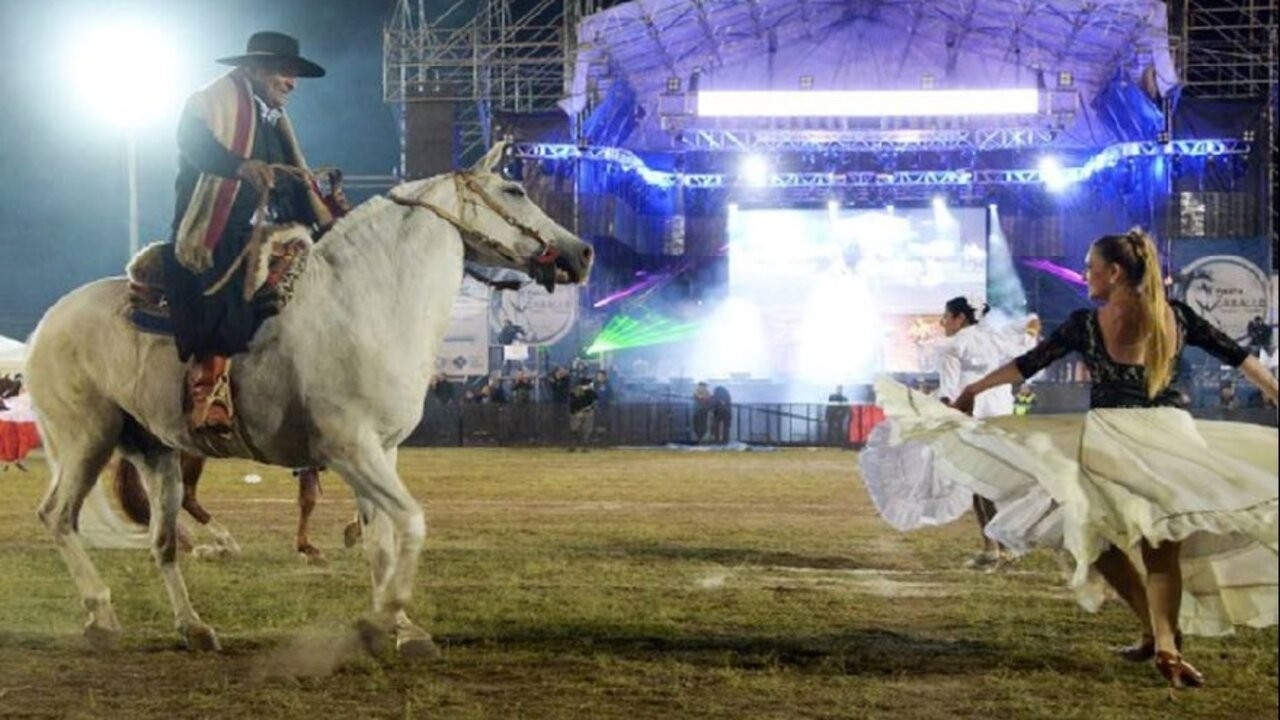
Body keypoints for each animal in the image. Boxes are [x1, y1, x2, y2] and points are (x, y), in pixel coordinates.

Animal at [23, 148, 593, 653]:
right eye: (515, 190)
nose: (581, 252)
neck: (365, 305)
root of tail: (48, 321)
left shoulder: (381, 452)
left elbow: (380, 544)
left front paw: (402, 628)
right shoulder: (350, 450)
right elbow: (411, 522)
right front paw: (382, 620)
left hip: (155, 452)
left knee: (161, 542)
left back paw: (195, 627)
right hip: (86, 440)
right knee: (58, 516)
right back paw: (101, 615)